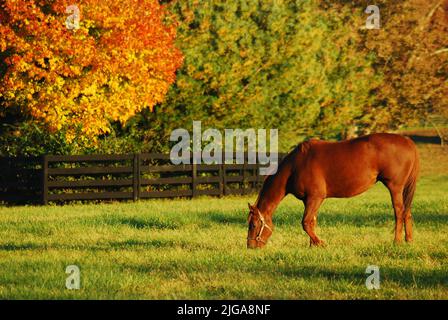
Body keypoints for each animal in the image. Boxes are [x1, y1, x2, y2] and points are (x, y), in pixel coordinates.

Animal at [247, 132, 418, 248]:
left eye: (253, 225)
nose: (250, 246)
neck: (295, 166)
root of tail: (408, 141)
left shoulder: (315, 198)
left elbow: (306, 222)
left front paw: (320, 243)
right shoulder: (309, 201)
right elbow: (312, 222)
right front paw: (312, 245)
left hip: (395, 187)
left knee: (399, 212)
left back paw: (397, 241)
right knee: (407, 211)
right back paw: (409, 240)